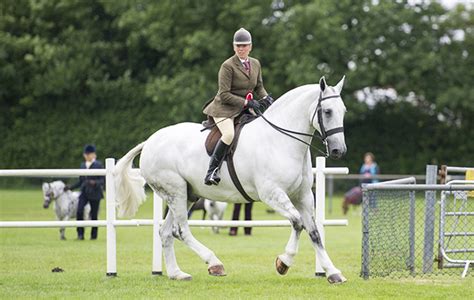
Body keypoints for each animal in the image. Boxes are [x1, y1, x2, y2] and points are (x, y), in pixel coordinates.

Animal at [113, 76, 346, 282]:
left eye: (343, 111)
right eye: (327, 111)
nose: (338, 151)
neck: (281, 140)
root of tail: (150, 141)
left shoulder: (303, 196)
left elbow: (314, 232)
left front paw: (333, 272)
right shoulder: (272, 194)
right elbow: (297, 223)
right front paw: (283, 263)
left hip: (186, 195)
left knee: (166, 232)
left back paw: (176, 274)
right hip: (175, 191)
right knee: (181, 230)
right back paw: (214, 263)